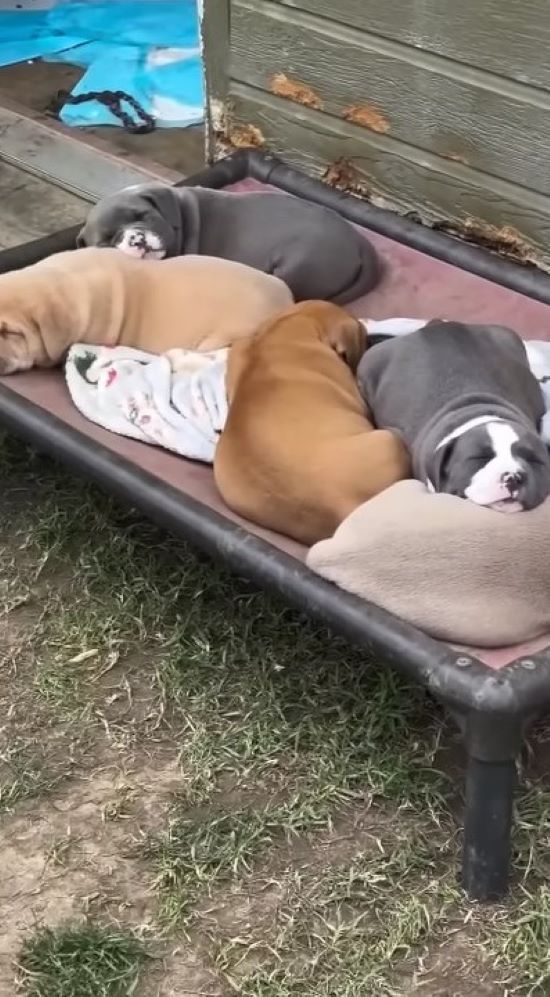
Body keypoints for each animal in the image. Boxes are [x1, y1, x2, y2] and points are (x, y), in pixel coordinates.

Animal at [358, 320, 550, 512]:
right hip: (370, 363)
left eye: (534, 460)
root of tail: (438, 325)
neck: (480, 408)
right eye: (479, 458)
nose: (514, 477)